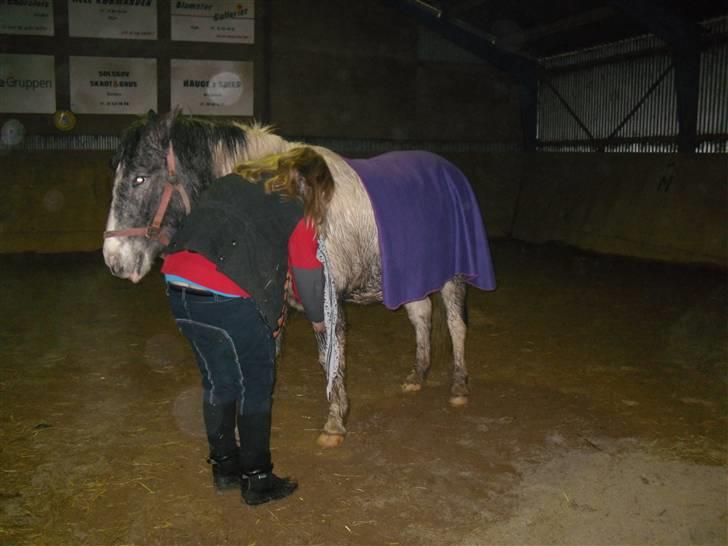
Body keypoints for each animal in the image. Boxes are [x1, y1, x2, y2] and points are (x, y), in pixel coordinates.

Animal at [102, 110, 495, 448]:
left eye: (140, 177)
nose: (114, 260)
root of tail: (450, 173)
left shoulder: (324, 298)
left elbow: (329, 356)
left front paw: (334, 423)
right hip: (411, 275)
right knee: (421, 315)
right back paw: (417, 377)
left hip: (455, 274)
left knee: (457, 326)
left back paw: (459, 387)